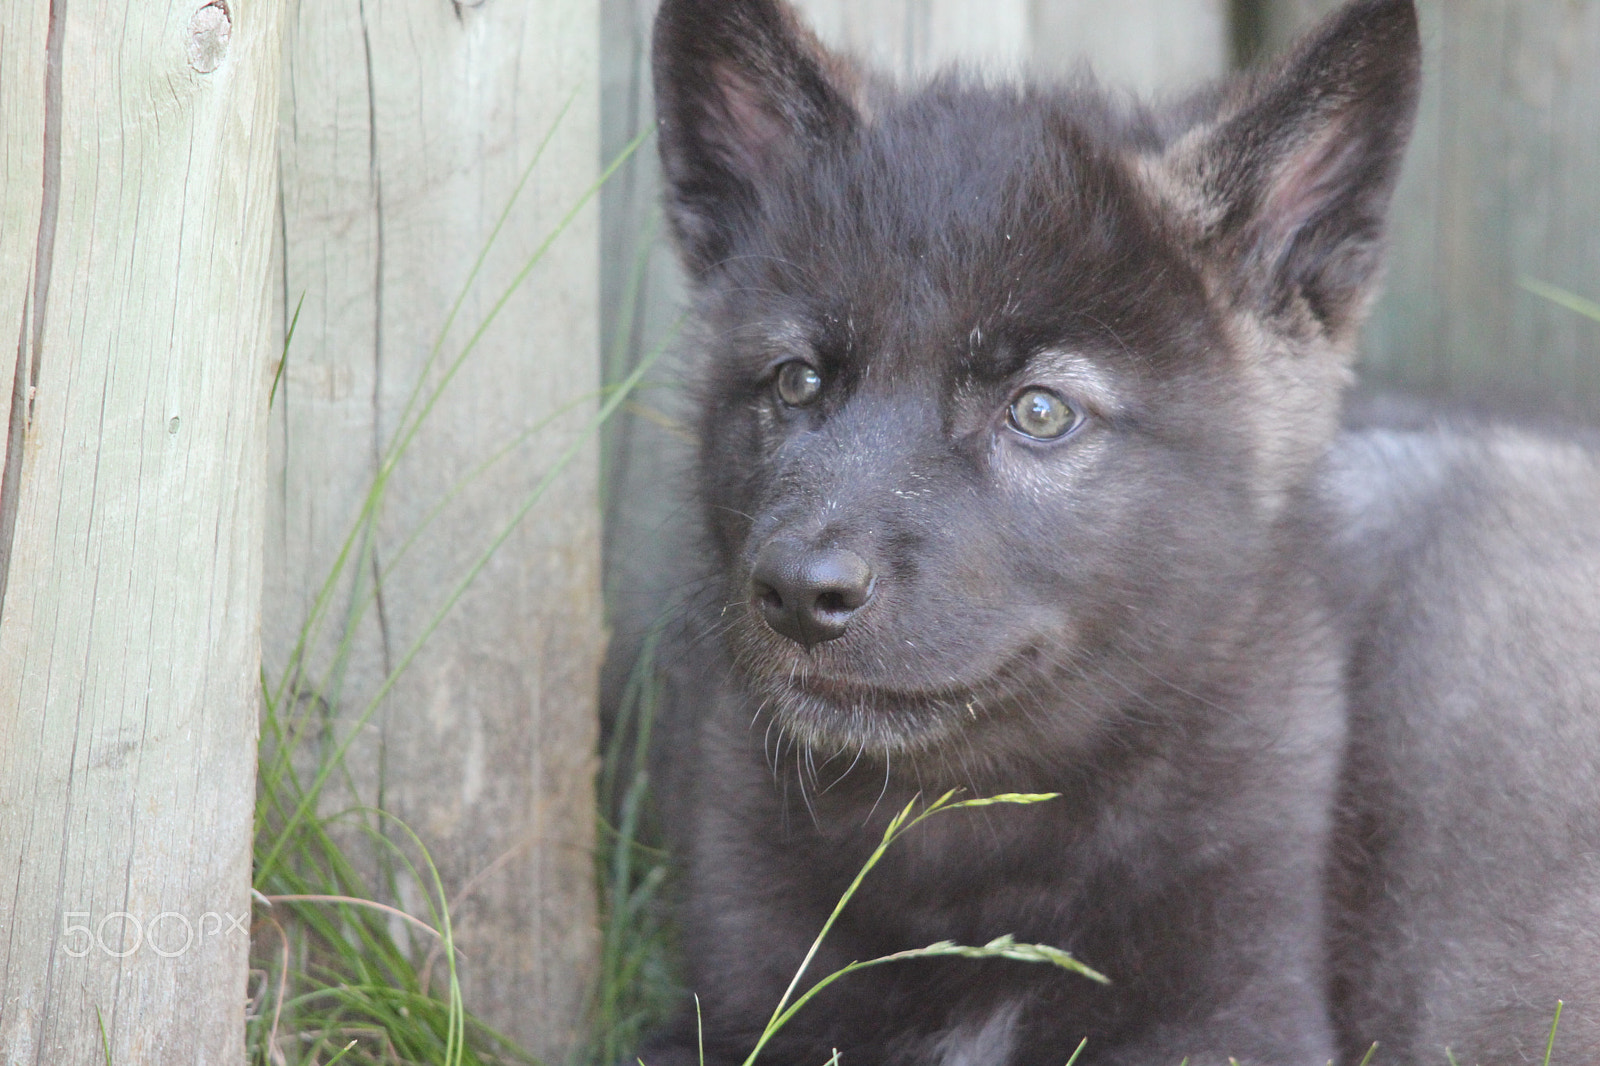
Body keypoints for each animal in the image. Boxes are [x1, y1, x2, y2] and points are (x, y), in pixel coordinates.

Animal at [638, 0, 1600, 1063]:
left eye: (1041, 411)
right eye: (798, 381)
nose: (802, 594)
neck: (965, 845)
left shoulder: (1237, 1015)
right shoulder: (730, 1012)